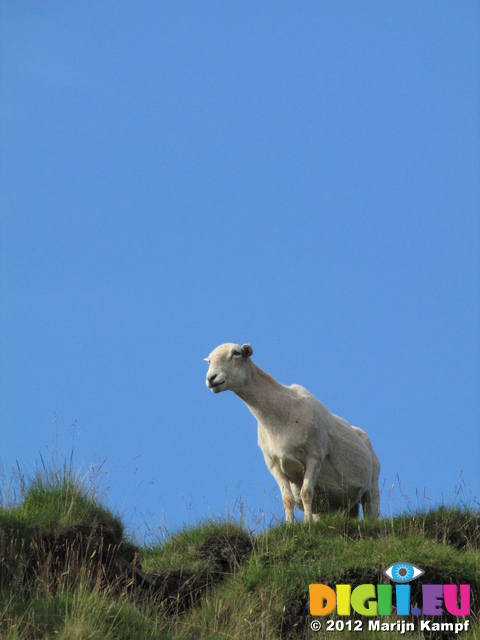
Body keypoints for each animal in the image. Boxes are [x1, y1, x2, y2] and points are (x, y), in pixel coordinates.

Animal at [204, 342, 380, 524]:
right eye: (209, 360)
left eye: (236, 353)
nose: (211, 378)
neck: (279, 416)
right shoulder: (274, 464)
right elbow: (287, 499)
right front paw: (290, 525)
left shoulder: (314, 456)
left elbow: (306, 493)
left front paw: (307, 525)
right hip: (344, 503)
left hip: (372, 486)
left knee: (372, 510)